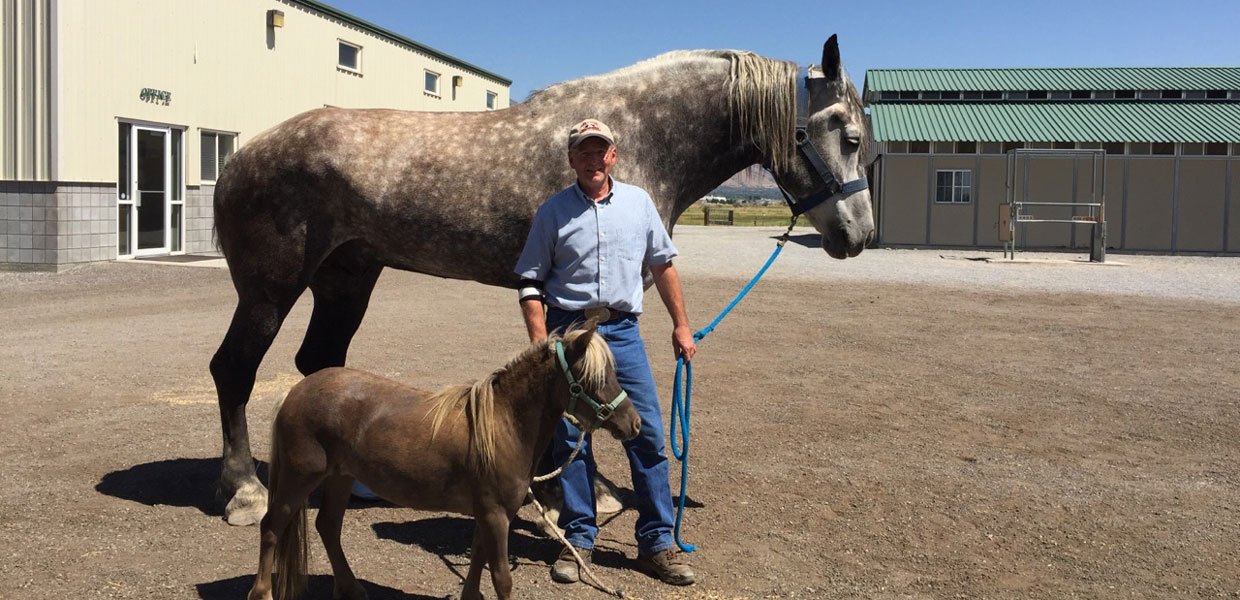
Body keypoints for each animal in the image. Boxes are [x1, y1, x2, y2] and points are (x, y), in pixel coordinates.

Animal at [210, 33, 872, 525]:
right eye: (851, 136)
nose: (858, 235)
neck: (639, 133)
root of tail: (242, 155)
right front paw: (581, 494)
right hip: (270, 289)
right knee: (234, 369)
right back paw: (243, 491)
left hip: (346, 280)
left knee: (319, 360)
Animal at [248, 322, 644, 600]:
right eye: (593, 378)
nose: (634, 423)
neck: (502, 424)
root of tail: (294, 392)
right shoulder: (496, 514)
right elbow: (501, 575)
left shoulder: (488, 513)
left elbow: (479, 559)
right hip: (300, 477)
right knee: (271, 527)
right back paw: (262, 592)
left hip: (340, 477)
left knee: (328, 527)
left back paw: (351, 588)